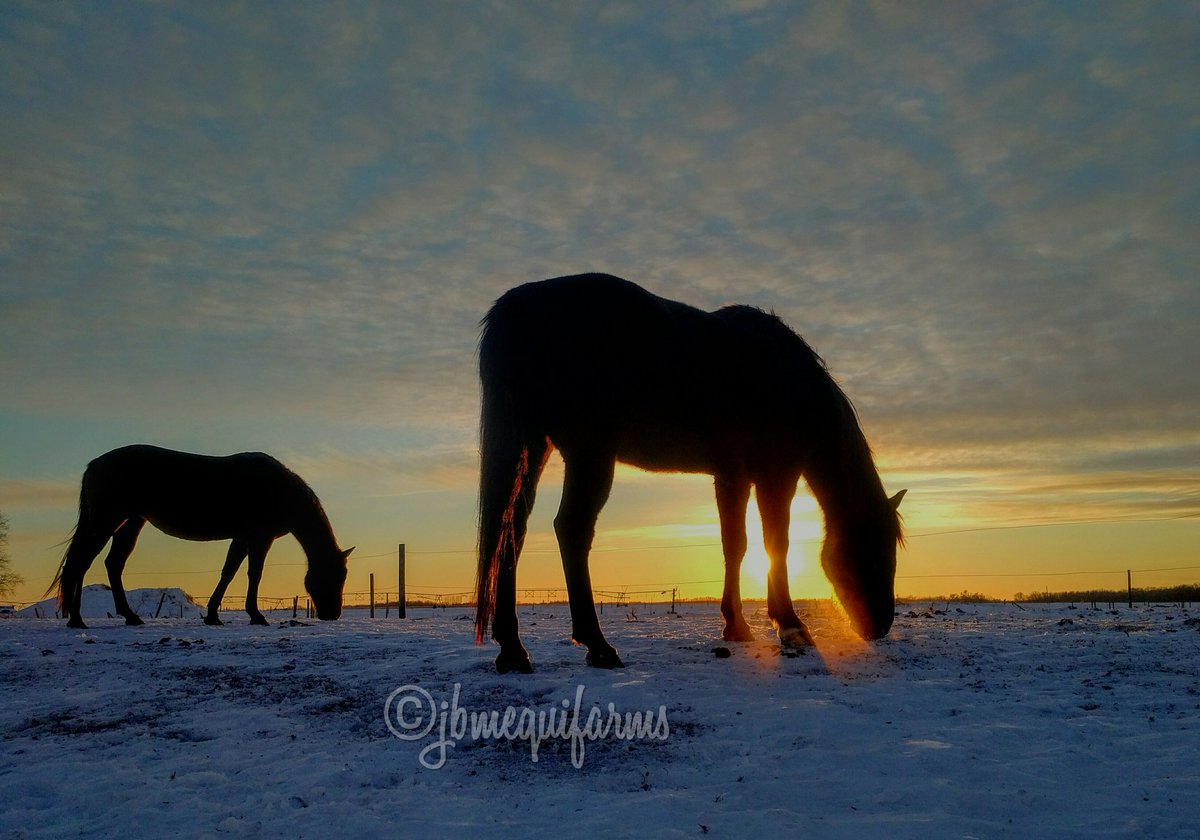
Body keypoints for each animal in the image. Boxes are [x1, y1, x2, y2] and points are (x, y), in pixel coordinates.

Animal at [48, 445, 353, 629]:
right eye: (333, 576)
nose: (334, 613)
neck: (279, 490)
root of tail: (94, 465)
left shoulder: (241, 538)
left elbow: (228, 572)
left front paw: (213, 615)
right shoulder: (259, 537)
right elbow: (254, 573)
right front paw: (255, 615)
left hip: (131, 522)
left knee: (111, 564)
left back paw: (129, 616)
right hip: (107, 522)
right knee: (80, 563)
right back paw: (77, 619)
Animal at [475, 274, 905, 673]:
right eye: (876, 547)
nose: (881, 625)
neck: (792, 380)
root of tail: (522, 304)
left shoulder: (732, 478)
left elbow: (736, 545)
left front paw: (737, 626)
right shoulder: (776, 476)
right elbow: (775, 546)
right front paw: (790, 625)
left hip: (532, 450)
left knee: (510, 533)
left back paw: (513, 650)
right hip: (589, 453)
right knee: (572, 530)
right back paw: (597, 645)